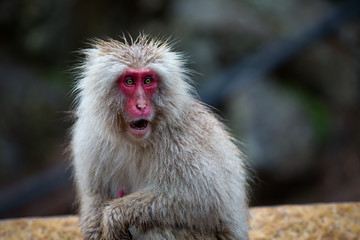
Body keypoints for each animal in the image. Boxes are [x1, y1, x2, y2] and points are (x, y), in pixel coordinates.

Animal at [71, 34, 249, 239]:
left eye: (148, 81)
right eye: (129, 81)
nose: (141, 106)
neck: (135, 141)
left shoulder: (181, 140)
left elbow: (205, 199)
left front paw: (115, 215)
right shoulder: (89, 134)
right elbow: (94, 192)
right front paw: (93, 228)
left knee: (157, 227)